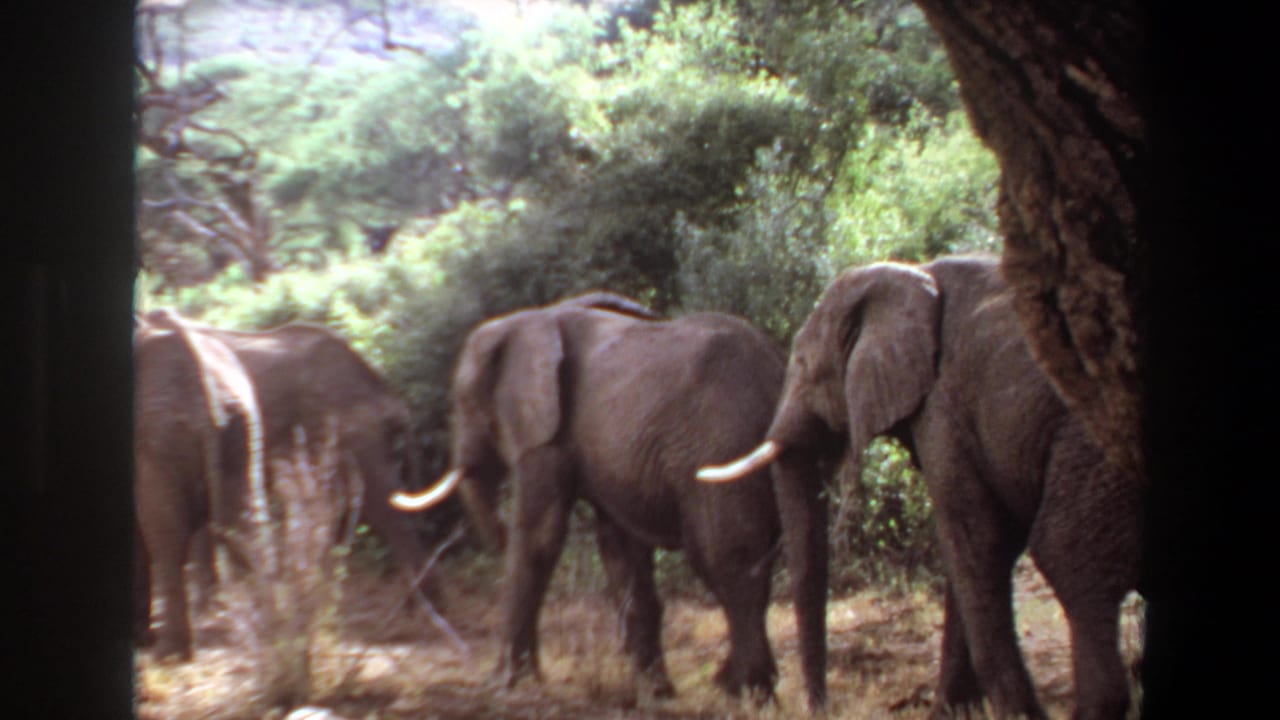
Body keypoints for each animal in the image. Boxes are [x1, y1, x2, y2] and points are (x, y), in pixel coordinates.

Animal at [390, 291, 786, 701]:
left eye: (464, 403)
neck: (529, 319)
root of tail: (774, 369)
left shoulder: (547, 435)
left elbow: (541, 535)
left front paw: (504, 683)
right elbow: (619, 549)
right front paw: (655, 691)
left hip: (719, 443)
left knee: (727, 558)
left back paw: (745, 691)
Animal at [698, 255, 1143, 719]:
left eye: (802, 364)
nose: (820, 706)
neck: (912, 276)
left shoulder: (943, 406)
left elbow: (979, 539)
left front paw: (1013, 715)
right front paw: (951, 711)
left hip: (1098, 437)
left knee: (1068, 559)